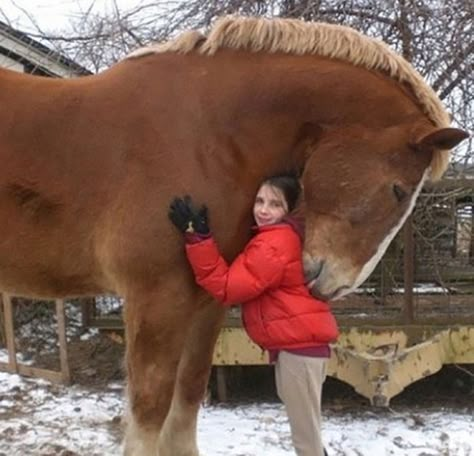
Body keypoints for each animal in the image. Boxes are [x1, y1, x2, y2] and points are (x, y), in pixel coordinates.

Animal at [0, 14, 466, 456]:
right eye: (398, 190)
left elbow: (186, 403)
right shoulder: (156, 300)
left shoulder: (206, 303)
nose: (334, 285)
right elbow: (150, 412)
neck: (205, 136)